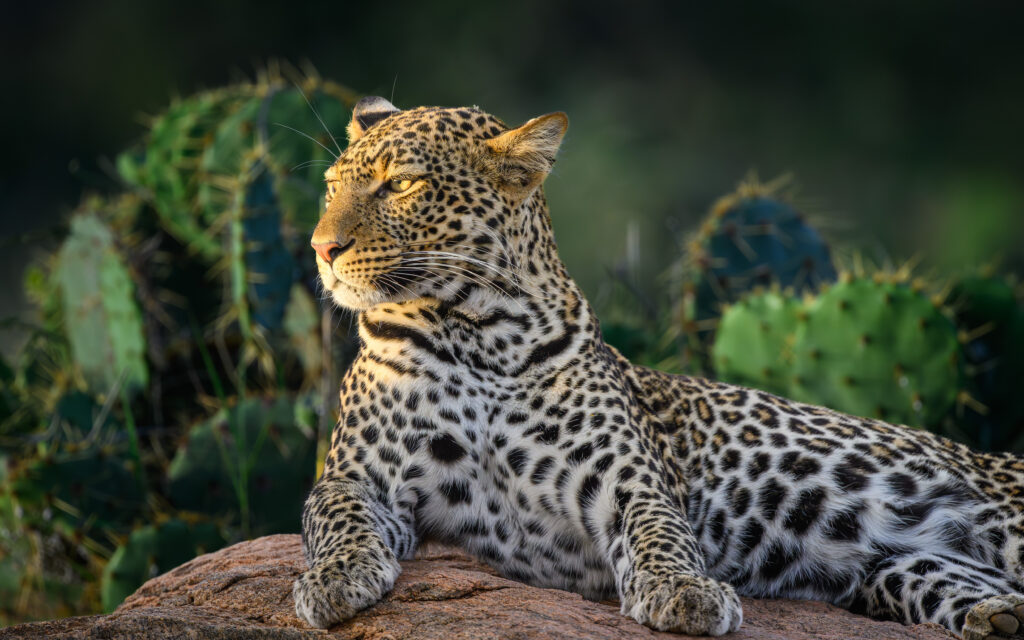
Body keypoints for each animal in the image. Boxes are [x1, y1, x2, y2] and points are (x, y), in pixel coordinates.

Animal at [293, 95, 1024, 639]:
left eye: (401, 184)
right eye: (330, 188)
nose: (322, 248)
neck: (475, 331)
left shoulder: (628, 482)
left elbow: (659, 534)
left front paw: (686, 591)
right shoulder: (356, 475)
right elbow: (334, 519)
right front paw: (332, 582)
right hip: (902, 566)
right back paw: (997, 616)